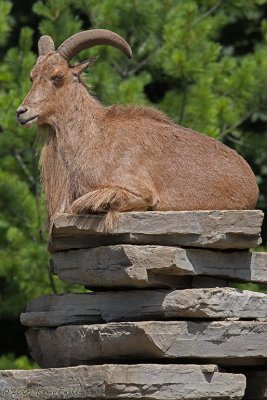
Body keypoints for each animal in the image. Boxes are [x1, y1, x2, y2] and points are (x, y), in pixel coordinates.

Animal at [16, 29, 260, 227]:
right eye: (32, 76)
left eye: (57, 76)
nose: (21, 112)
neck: (94, 136)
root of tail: (252, 183)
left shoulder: (140, 191)